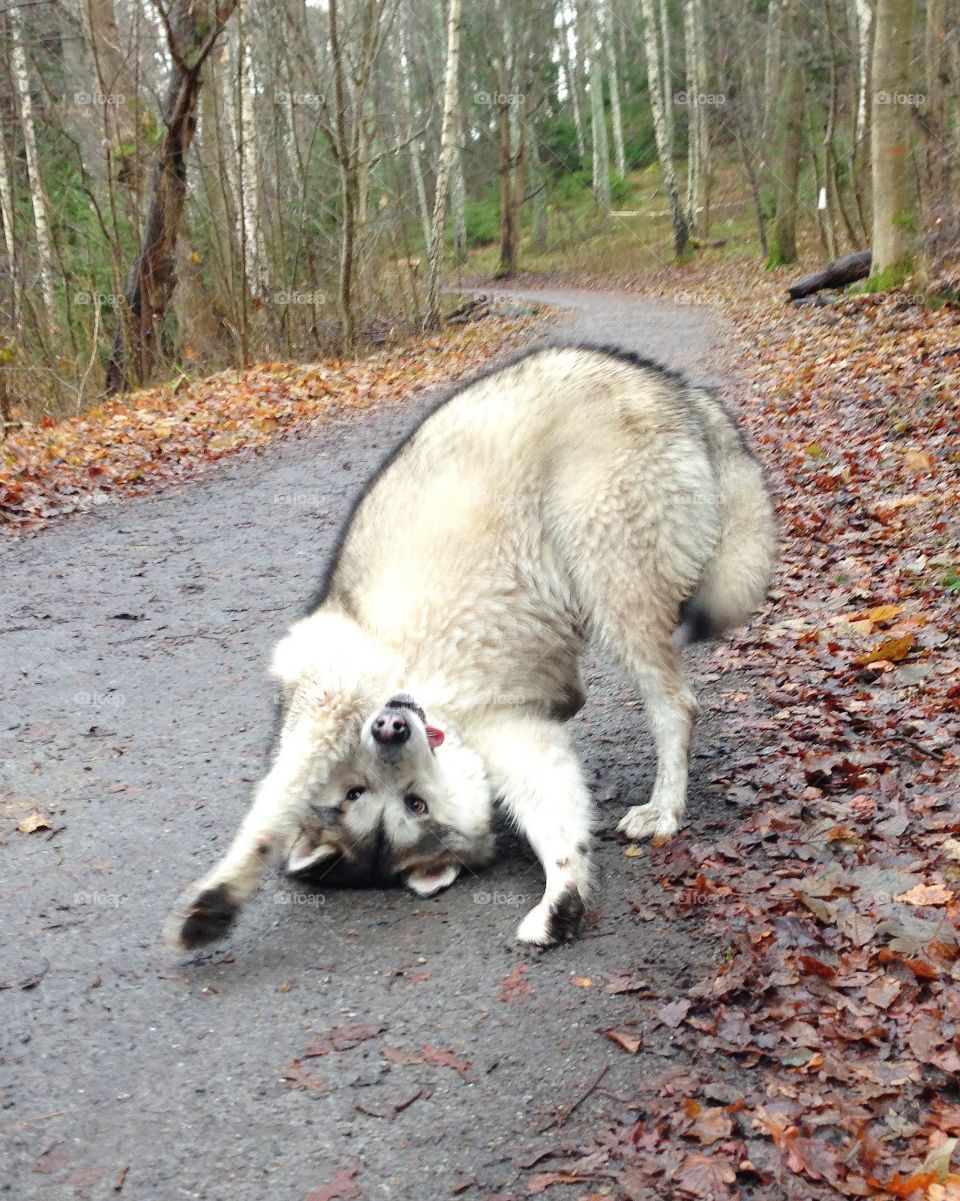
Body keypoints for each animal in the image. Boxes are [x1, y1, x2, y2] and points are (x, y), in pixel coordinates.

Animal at [163, 343, 773, 951]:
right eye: (372, 796)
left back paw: (664, 808)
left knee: (677, 708)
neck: (436, 707)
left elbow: (271, 809)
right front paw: (561, 896)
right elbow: (559, 820)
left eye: (388, 798)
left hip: (610, 586)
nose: (390, 728)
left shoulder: (326, 701)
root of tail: (671, 385)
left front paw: (219, 897)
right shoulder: (519, 741)